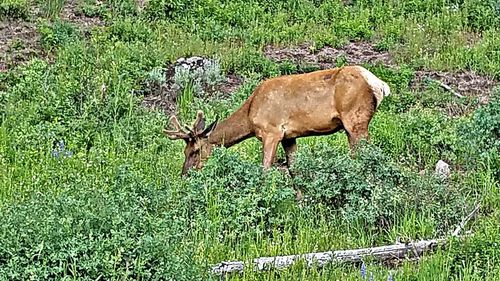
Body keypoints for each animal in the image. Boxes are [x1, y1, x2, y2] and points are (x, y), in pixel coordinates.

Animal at [164, 65, 390, 176]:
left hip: (356, 120)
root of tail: (380, 85)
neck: (250, 113)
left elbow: (265, 170)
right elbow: (294, 170)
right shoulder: (289, 136)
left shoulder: (271, 132)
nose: (184, 174)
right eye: (184, 151)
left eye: (195, 151)